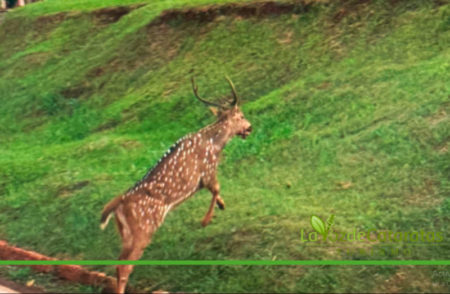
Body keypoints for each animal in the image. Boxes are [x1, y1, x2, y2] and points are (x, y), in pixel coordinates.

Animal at [100, 77, 251, 292]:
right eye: (241, 115)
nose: (250, 127)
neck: (216, 145)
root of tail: (117, 204)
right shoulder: (207, 170)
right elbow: (216, 188)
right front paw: (206, 219)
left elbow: (216, 191)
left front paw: (222, 205)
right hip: (143, 229)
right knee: (125, 266)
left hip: (125, 233)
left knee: (118, 262)